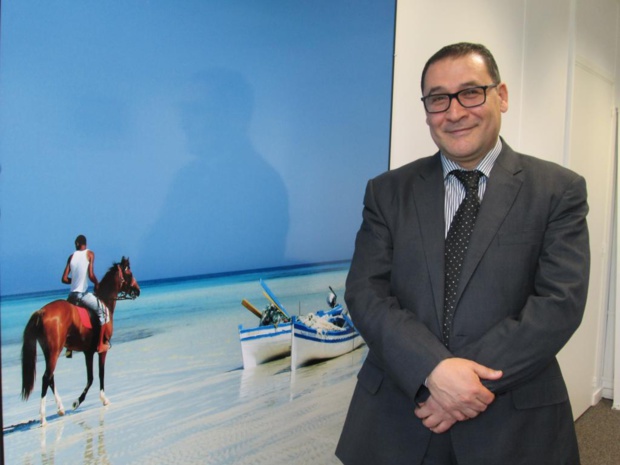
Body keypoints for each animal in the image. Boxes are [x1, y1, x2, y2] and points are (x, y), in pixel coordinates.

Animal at [20, 256, 140, 426]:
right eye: (129, 273)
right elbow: (100, 374)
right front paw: (98, 399)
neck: (105, 301)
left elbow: (90, 377)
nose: (138, 290)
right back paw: (43, 417)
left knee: (51, 378)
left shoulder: (87, 352)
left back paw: (60, 408)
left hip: (49, 351)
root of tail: (41, 312)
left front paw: (77, 401)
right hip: (54, 351)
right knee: (46, 377)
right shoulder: (101, 351)